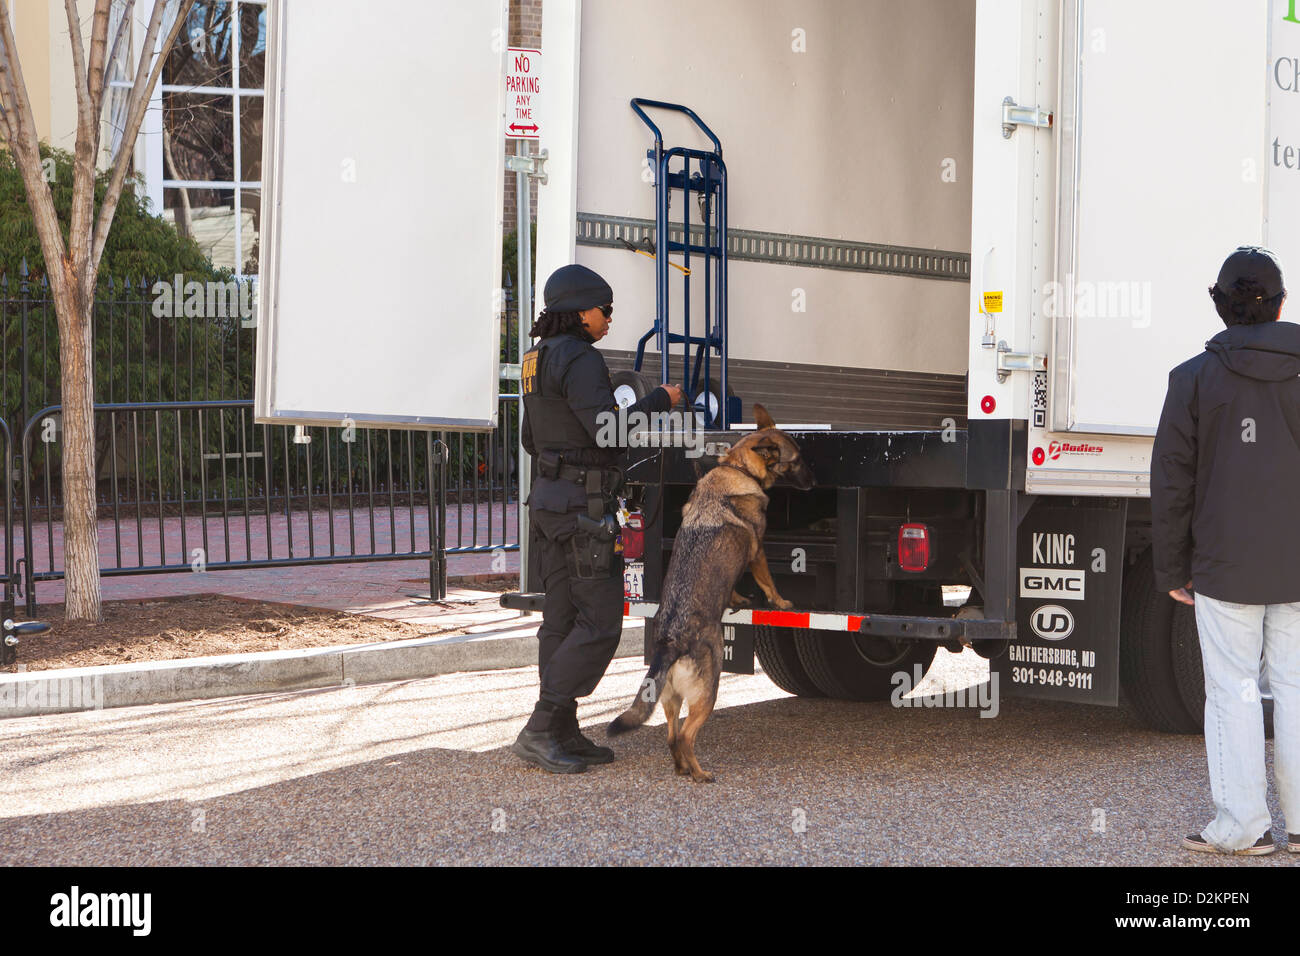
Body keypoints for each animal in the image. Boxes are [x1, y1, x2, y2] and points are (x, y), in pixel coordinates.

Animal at [608, 408, 811, 780]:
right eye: (798, 460)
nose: (815, 481)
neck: (737, 467)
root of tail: (670, 642)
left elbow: (733, 588)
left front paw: (738, 600)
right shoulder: (757, 553)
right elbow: (768, 582)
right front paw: (780, 602)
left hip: (671, 698)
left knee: (671, 736)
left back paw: (683, 770)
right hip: (708, 691)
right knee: (685, 735)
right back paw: (701, 774)